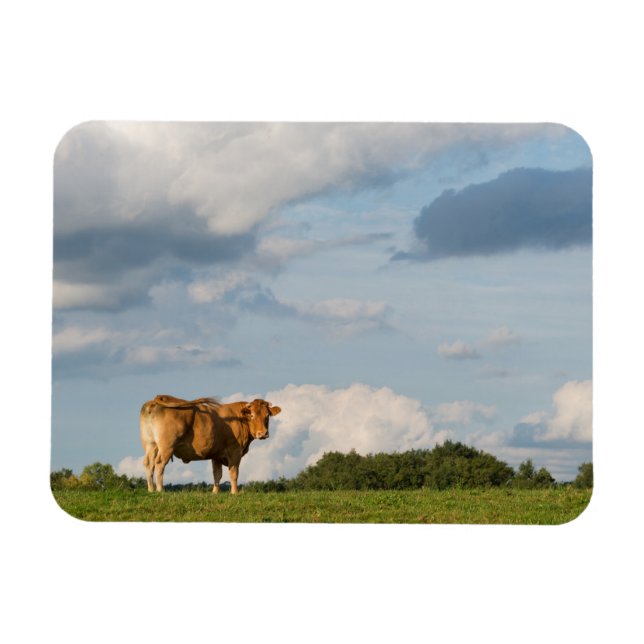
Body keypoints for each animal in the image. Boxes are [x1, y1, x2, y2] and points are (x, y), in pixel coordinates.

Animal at [140, 394, 281, 493]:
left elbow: (217, 475)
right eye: (252, 415)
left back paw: (151, 489)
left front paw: (215, 493)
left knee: (148, 463)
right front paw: (234, 492)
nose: (263, 433)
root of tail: (154, 401)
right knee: (159, 463)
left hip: (151, 444)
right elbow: (234, 473)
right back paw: (160, 489)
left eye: (267, 416)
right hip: (167, 447)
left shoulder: (216, 454)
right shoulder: (235, 451)